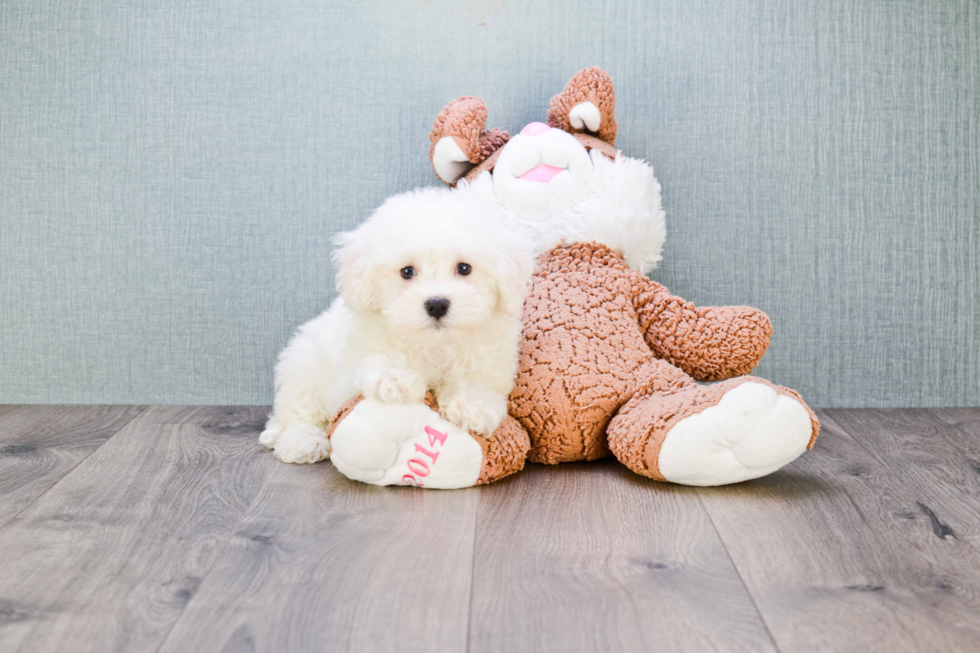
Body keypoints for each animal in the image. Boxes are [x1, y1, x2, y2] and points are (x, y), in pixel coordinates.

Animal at [260, 185, 532, 464]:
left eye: (464, 268)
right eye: (407, 271)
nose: (436, 304)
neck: (435, 344)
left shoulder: (489, 356)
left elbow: (476, 378)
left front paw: (471, 404)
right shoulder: (357, 356)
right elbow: (382, 356)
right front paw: (394, 377)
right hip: (305, 367)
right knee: (298, 413)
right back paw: (304, 441)